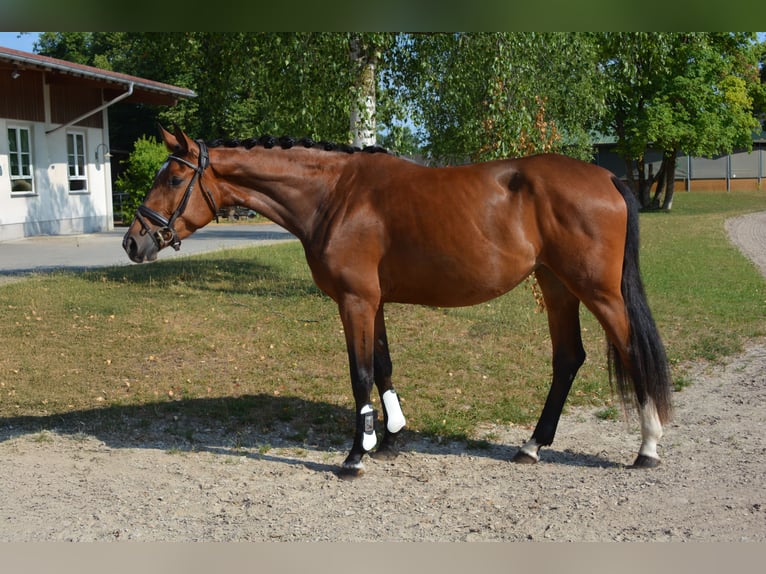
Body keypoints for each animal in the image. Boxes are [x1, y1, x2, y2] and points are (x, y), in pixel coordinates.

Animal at [123, 125, 672, 478]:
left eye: (174, 178)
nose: (133, 241)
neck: (335, 195)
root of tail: (606, 178)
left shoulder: (354, 301)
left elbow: (360, 373)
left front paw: (355, 455)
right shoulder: (375, 301)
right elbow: (384, 366)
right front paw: (389, 439)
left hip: (597, 291)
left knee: (631, 351)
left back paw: (647, 447)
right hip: (555, 286)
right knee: (568, 359)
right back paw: (533, 446)